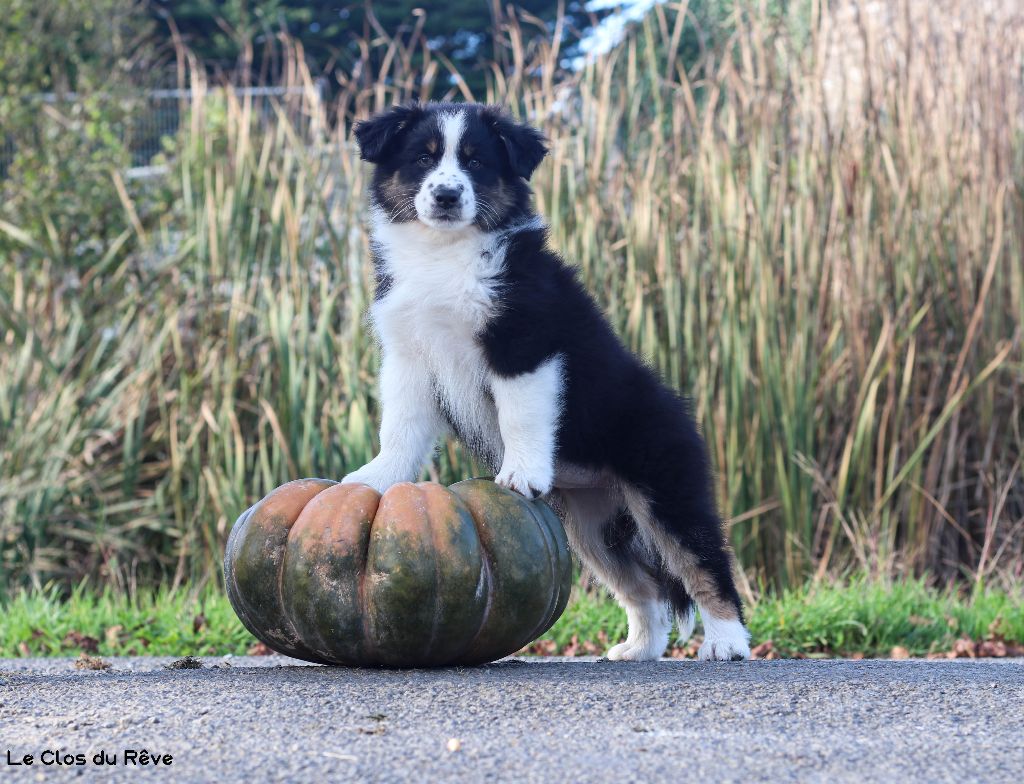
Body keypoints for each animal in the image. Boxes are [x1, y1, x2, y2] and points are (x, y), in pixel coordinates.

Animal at [344, 99, 753, 663]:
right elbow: (401, 428)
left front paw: (520, 474)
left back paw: (726, 642)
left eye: (476, 162)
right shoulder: (409, 357)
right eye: (423, 158)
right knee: (642, 589)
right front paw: (377, 477)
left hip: (666, 487)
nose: (446, 195)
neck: (445, 254)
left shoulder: (524, 343)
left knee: (704, 562)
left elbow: (520, 414)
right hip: (593, 526)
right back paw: (638, 650)